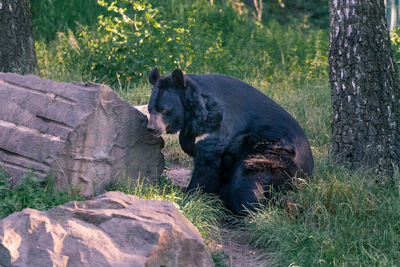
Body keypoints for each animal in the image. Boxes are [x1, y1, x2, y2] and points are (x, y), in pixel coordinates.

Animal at [146, 67, 312, 216]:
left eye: (164, 109)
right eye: (150, 108)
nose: (151, 128)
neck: (196, 111)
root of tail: (308, 173)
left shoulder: (220, 122)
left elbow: (207, 164)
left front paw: (190, 193)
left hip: (274, 155)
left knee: (249, 181)